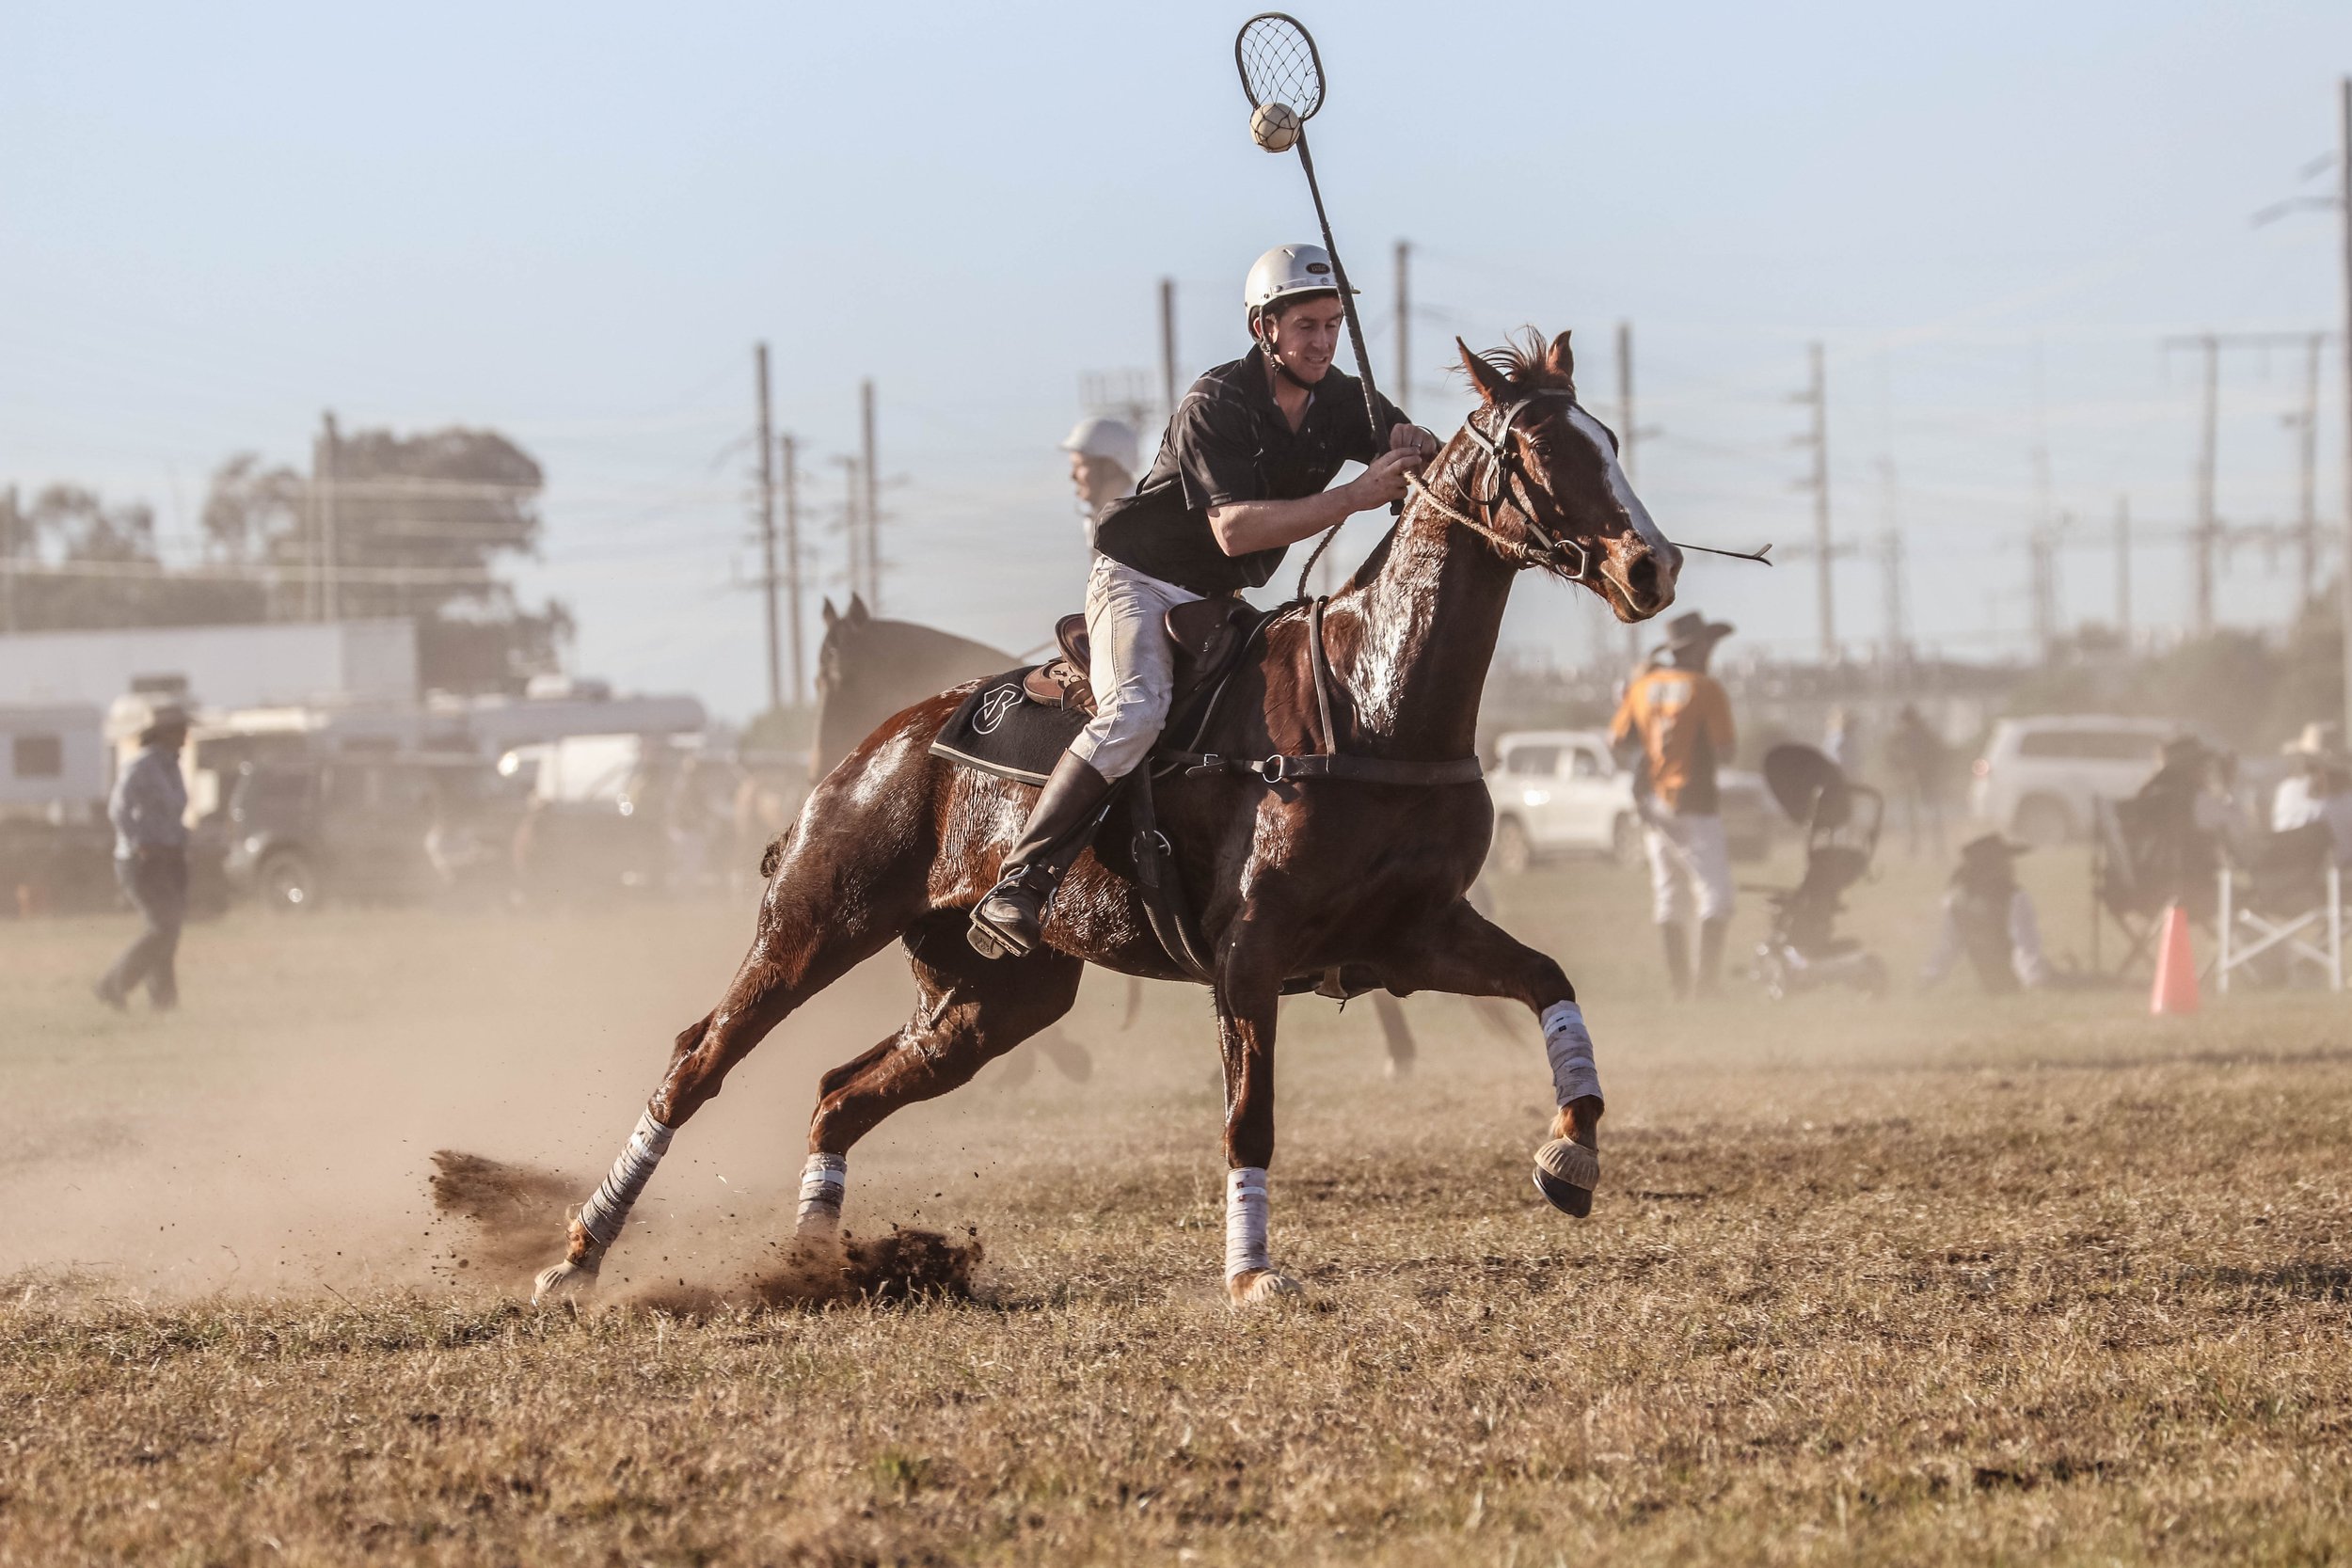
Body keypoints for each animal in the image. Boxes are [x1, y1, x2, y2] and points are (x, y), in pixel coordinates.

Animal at [531, 330, 1679, 1307]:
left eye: (1614, 441)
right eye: (1541, 448)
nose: (1653, 565)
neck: (1370, 699)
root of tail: (868, 752)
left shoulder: (1414, 932)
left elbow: (1550, 982)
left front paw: (1571, 1153)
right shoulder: (1249, 952)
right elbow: (1248, 1117)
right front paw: (1251, 1274)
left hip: (995, 1000)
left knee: (835, 1092)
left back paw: (813, 1263)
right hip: (813, 925)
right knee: (698, 1061)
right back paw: (578, 1258)